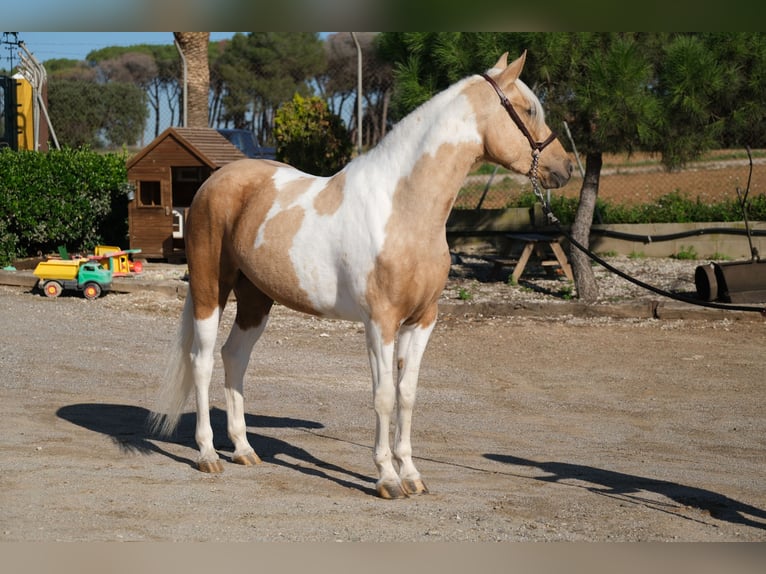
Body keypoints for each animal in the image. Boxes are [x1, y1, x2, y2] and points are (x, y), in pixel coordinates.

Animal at [150, 53, 572, 500]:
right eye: (529, 110)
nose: (564, 168)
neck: (403, 209)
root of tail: (212, 183)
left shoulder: (423, 320)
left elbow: (407, 395)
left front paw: (412, 474)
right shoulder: (380, 322)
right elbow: (383, 396)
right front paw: (386, 477)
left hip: (256, 299)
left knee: (234, 357)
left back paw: (244, 449)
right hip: (210, 289)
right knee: (202, 361)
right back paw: (208, 454)